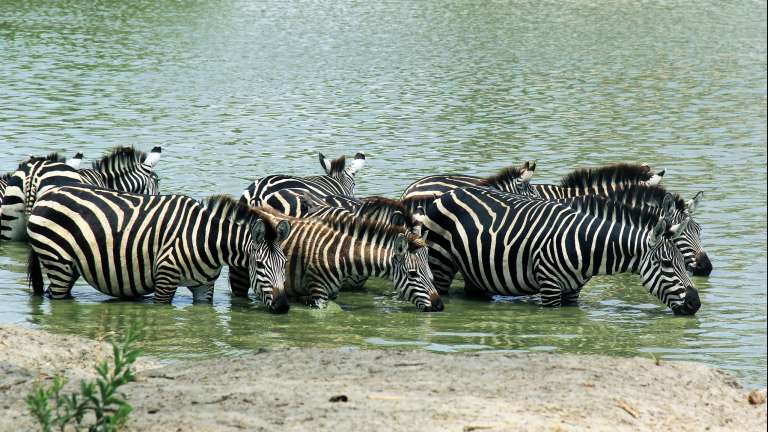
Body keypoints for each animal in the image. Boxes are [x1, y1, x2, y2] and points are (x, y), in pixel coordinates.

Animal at [26, 186, 292, 312]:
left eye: (285, 264)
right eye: (260, 265)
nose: (283, 307)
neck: (206, 239)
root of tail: (46, 194)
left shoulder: (204, 287)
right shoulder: (165, 278)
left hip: (69, 266)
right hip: (57, 261)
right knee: (57, 298)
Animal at [229, 208, 443, 312]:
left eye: (430, 273)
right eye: (413, 275)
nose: (440, 306)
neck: (341, 255)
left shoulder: (331, 292)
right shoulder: (319, 292)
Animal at [418, 186, 700, 315]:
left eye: (684, 264)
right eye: (667, 264)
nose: (696, 304)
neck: (587, 245)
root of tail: (449, 193)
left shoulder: (573, 290)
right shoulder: (550, 287)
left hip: (475, 270)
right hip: (441, 264)